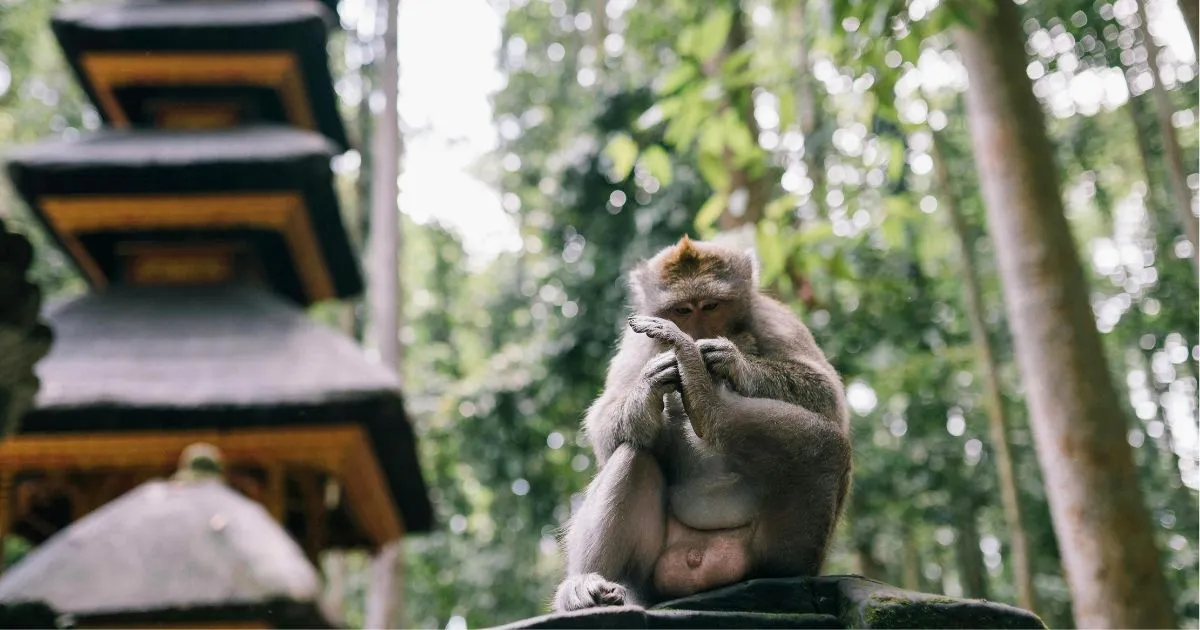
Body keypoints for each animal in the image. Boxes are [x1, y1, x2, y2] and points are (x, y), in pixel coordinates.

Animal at [553, 236, 852, 612]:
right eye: (683, 310)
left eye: (710, 306)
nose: (694, 333)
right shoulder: (635, 340)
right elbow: (604, 428)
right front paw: (651, 383)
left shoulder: (774, 317)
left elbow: (826, 394)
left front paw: (730, 359)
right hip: (649, 578)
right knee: (634, 455)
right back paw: (586, 585)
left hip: (778, 553)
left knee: (826, 447)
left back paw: (706, 400)